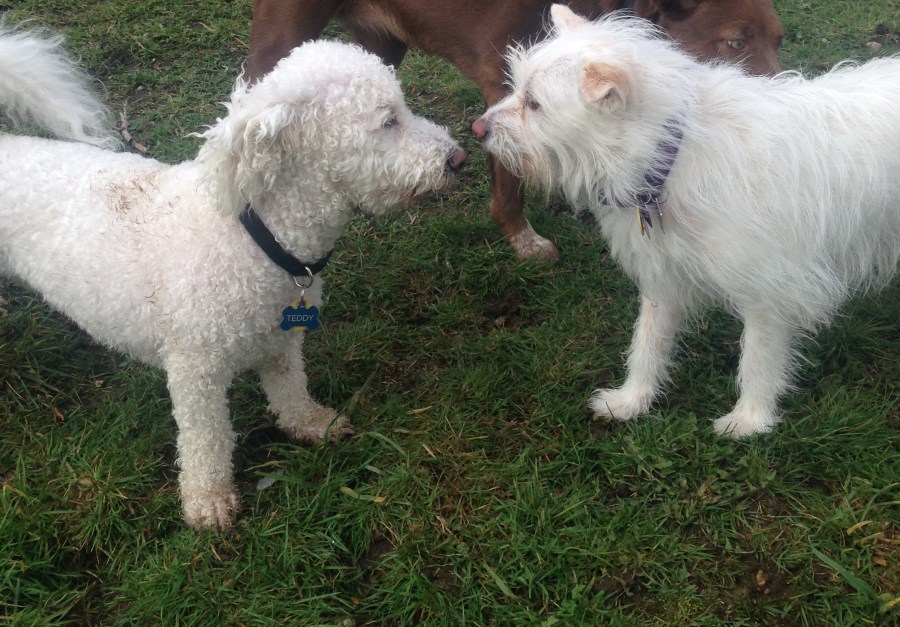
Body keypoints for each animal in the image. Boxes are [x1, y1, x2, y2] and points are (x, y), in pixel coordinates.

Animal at [0, 24, 465, 529]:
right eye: (388, 121)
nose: (458, 158)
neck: (258, 236)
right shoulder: (194, 370)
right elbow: (207, 439)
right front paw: (208, 500)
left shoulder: (282, 339)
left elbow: (290, 388)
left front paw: (311, 424)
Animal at [247, 0, 784, 261]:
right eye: (735, 42)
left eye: (779, 39)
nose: (778, 97)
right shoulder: (503, 79)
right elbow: (509, 177)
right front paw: (522, 238)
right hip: (280, 38)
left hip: (379, 46)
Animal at [473, 5, 900, 437]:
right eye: (518, 90)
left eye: (534, 104)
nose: (479, 130)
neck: (672, 157)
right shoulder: (662, 276)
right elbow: (647, 343)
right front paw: (632, 400)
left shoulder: (769, 289)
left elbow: (758, 357)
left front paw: (750, 418)